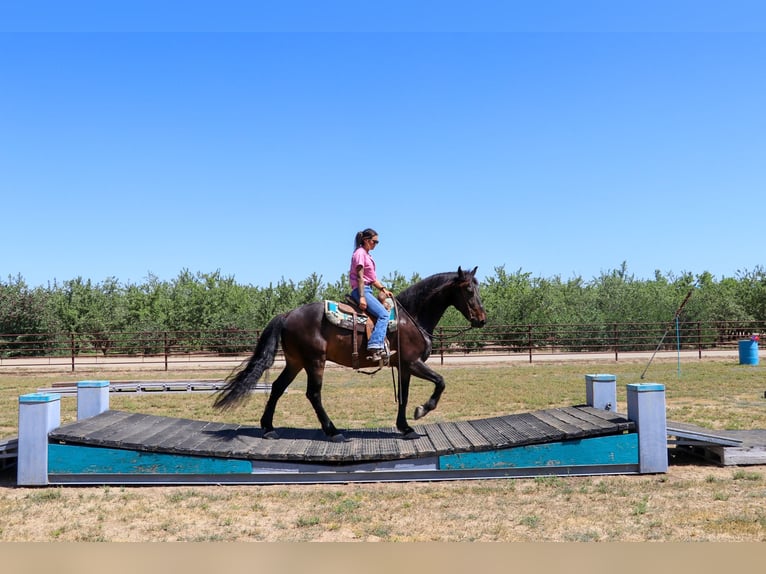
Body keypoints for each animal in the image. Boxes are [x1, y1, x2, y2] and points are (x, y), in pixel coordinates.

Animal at [212, 266, 486, 440]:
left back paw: (268, 428)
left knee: (278, 387)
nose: (482, 319)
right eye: (468, 290)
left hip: (295, 362)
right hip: (315, 361)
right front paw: (422, 410)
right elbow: (440, 382)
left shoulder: (404, 367)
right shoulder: (413, 362)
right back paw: (333, 431)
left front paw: (405, 427)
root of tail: (287, 314)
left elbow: (404, 397)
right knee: (313, 394)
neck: (412, 316)